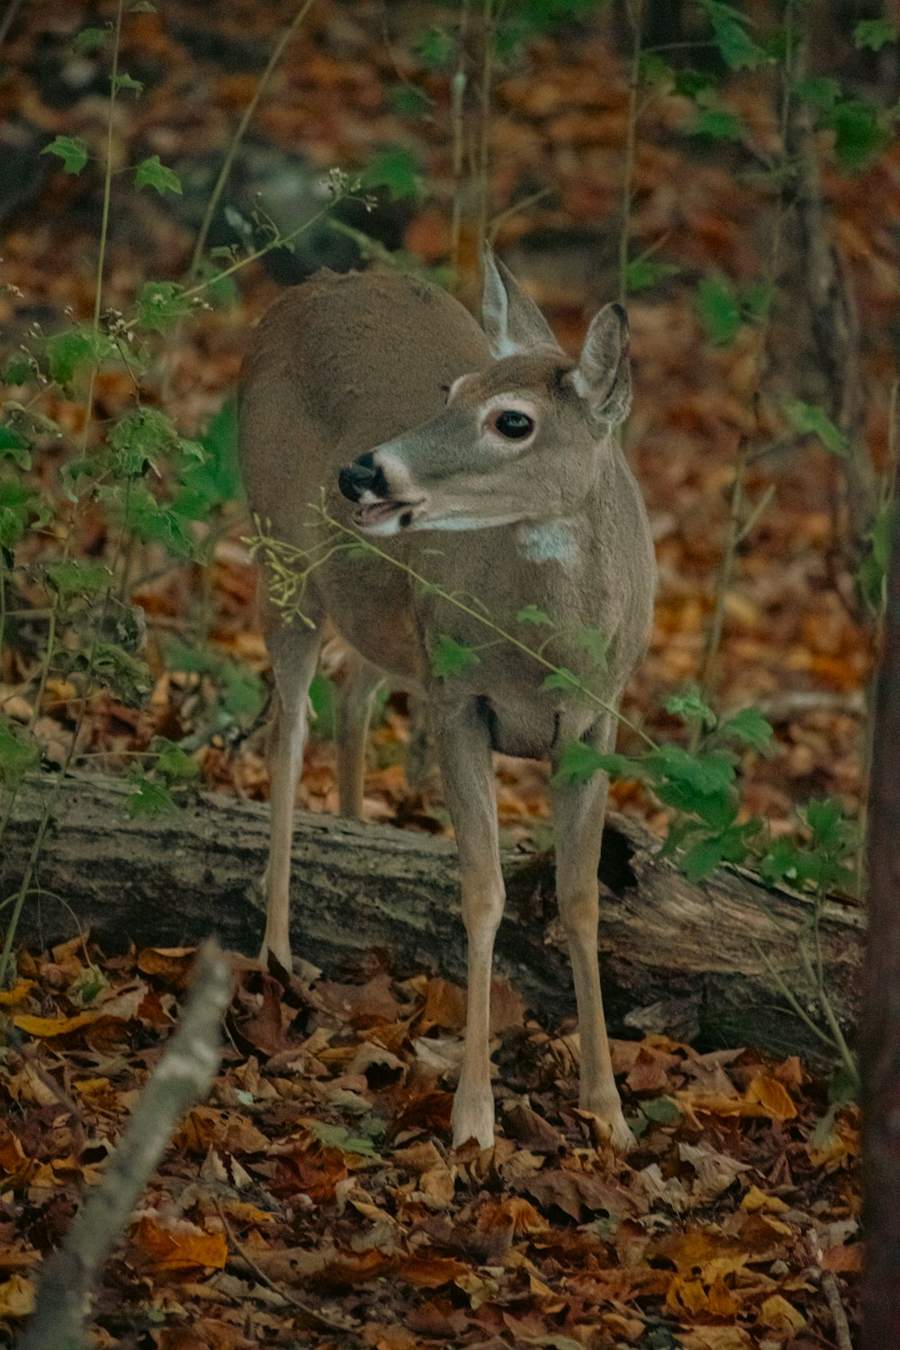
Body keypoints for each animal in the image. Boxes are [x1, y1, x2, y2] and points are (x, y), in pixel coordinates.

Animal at [239, 250, 656, 1151]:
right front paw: (473, 1118)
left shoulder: (595, 719)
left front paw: (608, 1109)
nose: (362, 471)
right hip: (281, 554)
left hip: (383, 617)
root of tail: (300, 293)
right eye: (452, 389)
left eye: (513, 421)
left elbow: (581, 900)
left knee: (353, 690)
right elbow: (484, 891)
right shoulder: (461, 699)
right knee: (288, 731)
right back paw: (275, 954)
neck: (543, 650)